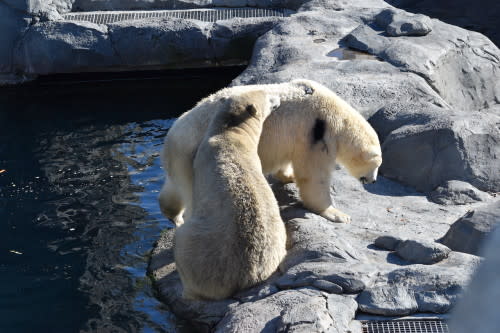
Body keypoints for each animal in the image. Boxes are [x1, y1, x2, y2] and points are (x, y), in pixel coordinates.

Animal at [160, 78, 382, 224]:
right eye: (376, 165)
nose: (373, 181)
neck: (336, 116)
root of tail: (170, 142)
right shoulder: (315, 134)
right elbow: (314, 176)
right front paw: (337, 214)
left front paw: (288, 176)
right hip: (194, 156)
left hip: (182, 162)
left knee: (174, 189)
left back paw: (172, 214)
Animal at [174, 91, 288, 300]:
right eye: (269, 96)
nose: (279, 98)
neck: (229, 133)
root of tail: (245, 277)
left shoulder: (201, 157)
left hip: (199, 251)